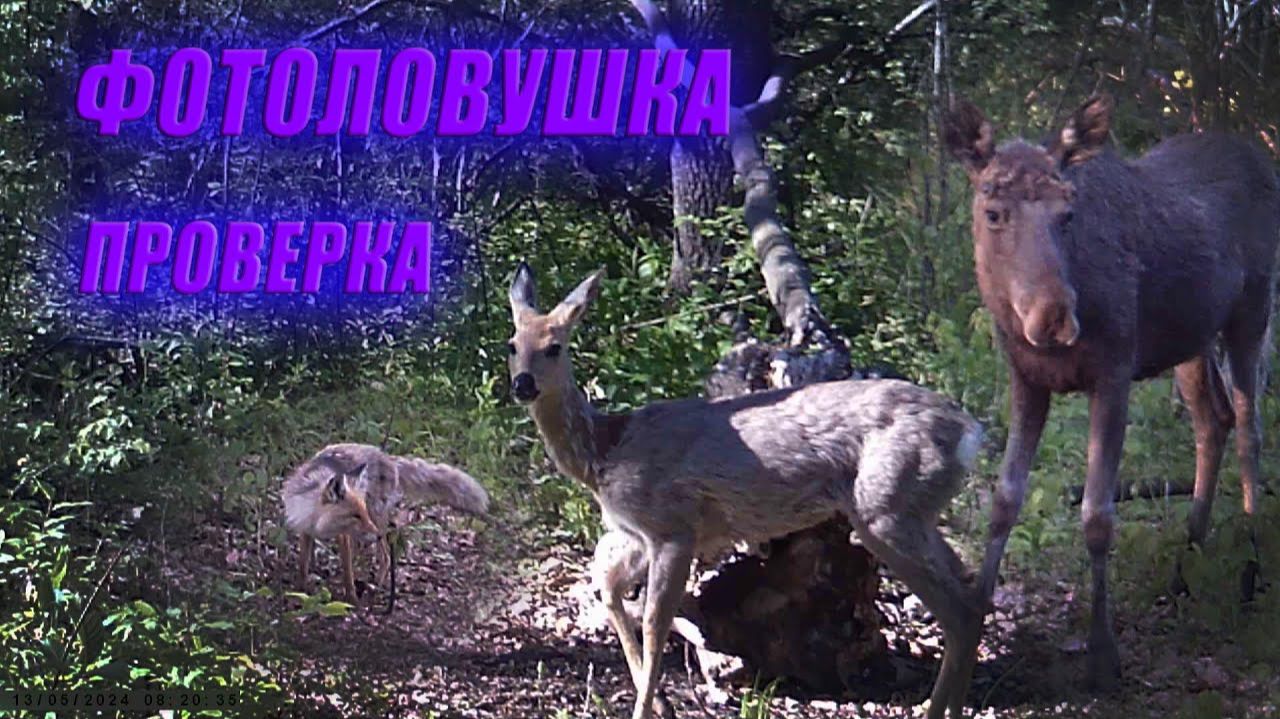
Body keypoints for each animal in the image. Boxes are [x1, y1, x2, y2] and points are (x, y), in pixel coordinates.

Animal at [282, 443, 490, 602]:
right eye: (355, 515)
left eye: (362, 513)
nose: (376, 534)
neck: (315, 517)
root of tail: (387, 457)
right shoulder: (305, 529)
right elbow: (303, 566)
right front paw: (299, 592)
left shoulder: (344, 534)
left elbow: (348, 574)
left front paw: (351, 600)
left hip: (377, 518)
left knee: (386, 558)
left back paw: (377, 586)